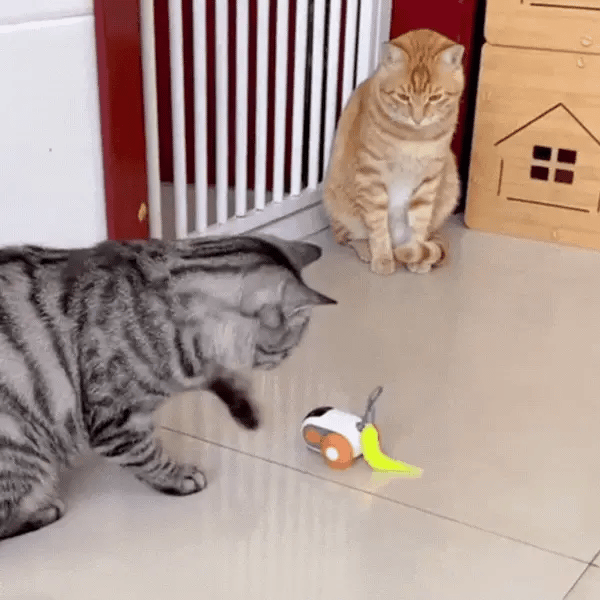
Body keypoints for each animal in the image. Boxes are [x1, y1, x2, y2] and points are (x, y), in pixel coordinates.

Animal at [0, 235, 335, 540]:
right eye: (288, 348)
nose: (281, 362)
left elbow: (222, 378)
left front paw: (246, 409)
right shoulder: (115, 422)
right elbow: (146, 455)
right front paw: (177, 478)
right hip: (22, 448)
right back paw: (42, 511)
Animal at [323, 29, 465, 275]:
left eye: (435, 98)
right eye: (403, 97)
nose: (418, 119)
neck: (415, 137)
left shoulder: (429, 179)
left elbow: (419, 224)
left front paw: (416, 255)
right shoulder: (371, 176)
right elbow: (378, 225)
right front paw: (382, 257)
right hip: (338, 202)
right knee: (347, 235)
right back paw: (368, 249)